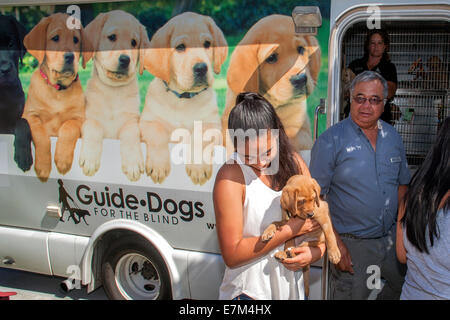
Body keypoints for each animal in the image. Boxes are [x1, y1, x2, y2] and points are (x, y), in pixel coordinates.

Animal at [22, 12, 87, 181]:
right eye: (55, 38)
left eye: (76, 40)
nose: (70, 56)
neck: (58, 91)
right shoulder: (29, 115)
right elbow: (40, 133)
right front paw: (43, 167)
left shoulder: (80, 119)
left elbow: (68, 127)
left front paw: (63, 159)